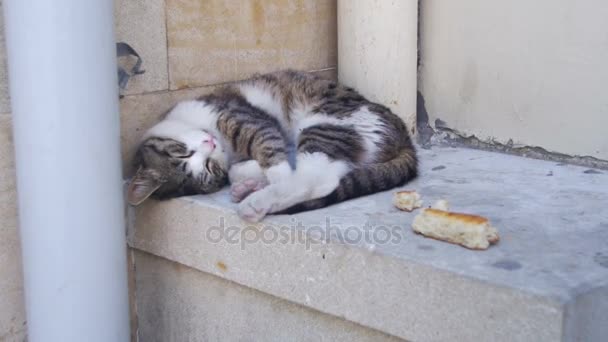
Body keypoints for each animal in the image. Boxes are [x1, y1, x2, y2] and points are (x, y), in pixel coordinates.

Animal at [126, 69, 416, 222]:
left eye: (182, 152)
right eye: (207, 169)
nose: (210, 143)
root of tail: (405, 135)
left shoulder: (241, 117)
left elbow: (267, 147)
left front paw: (271, 174)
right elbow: (251, 162)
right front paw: (249, 176)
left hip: (323, 123)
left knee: (314, 179)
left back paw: (257, 200)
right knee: (325, 175)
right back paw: (252, 190)